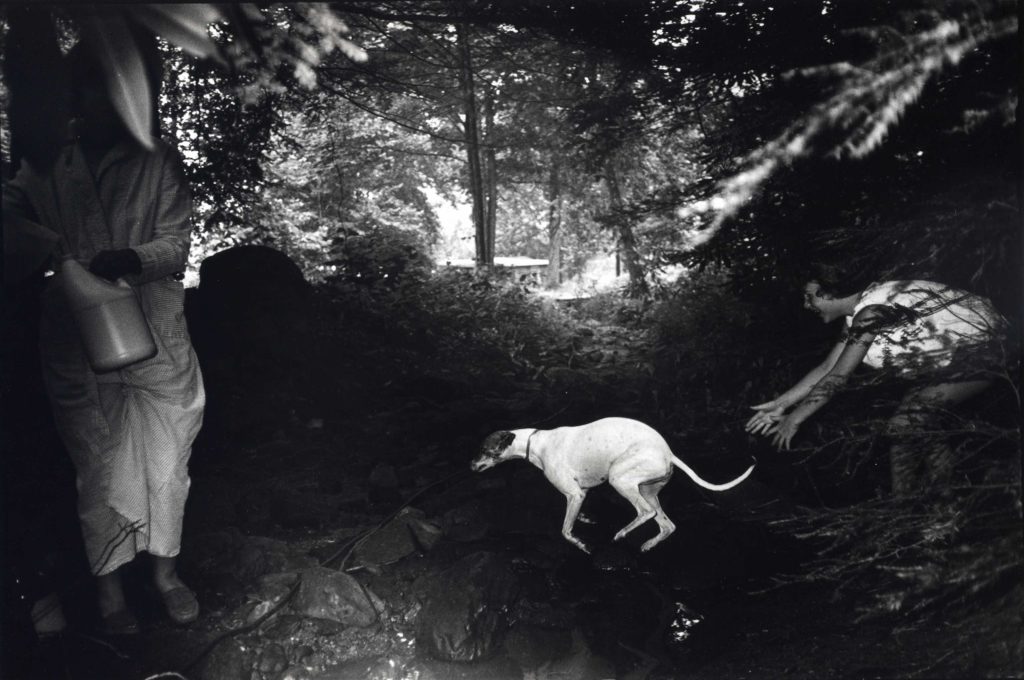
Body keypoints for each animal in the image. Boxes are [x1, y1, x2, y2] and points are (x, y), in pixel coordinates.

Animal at [471, 413, 753, 553]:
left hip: (620, 479)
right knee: (667, 525)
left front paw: (581, 544)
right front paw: (584, 519)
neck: (537, 443)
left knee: (645, 513)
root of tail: (668, 452)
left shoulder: (574, 494)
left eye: (484, 450)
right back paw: (648, 544)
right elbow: (574, 516)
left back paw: (621, 533)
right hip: (648, 490)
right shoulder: (580, 493)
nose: (470, 466)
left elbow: (565, 531)